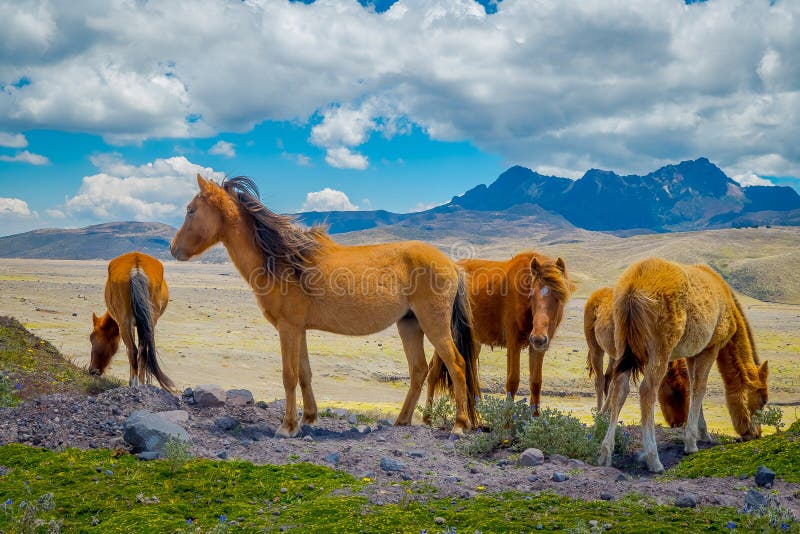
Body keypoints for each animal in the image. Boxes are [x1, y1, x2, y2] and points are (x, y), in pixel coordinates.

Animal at [89, 252, 174, 390]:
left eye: (91, 338)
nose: (92, 370)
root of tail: (136, 268)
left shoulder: (127, 324)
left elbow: (130, 351)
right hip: (149, 321)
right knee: (143, 352)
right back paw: (141, 384)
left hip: (124, 323)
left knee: (133, 351)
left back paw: (134, 384)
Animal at [170, 175, 480, 437]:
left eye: (191, 210)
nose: (173, 250)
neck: (281, 261)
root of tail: (452, 263)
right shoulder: (299, 329)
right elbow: (304, 373)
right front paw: (308, 418)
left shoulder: (288, 328)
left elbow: (289, 375)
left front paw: (287, 426)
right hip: (409, 324)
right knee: (418, 370)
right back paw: (401, 421)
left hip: (433, 324)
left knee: (457, 365)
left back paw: (459, 425)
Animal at [425, 252, 574, 417]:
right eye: (532, 295)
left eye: (558, 297)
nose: (538, 338)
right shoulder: (513, 342)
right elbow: (512, 382)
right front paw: (507, 421)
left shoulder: (538, 348)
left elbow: (536, 382)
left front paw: (534, 419)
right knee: (432, 372)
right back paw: (427, 418)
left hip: (473, 342)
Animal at [584, 286, 690, 427]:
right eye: (674, 391)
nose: (679, 423)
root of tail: (596, 294)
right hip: (595, 348)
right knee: (599, 380)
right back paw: (598, 414)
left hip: (613, 355)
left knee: (607, 379)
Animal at [598, 258, 769, 473]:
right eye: (763, 400)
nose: (755, 434)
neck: (726, 301)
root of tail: (632, 288)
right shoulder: (710, 347)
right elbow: (700, 388)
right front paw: (691, 443)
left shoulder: (692, 353)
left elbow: (692, 386)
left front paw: (702, 434)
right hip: (660, 351)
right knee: (647, 390)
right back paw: (654, 459)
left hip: (623, 347)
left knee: (619, 388)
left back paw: (606, 454)